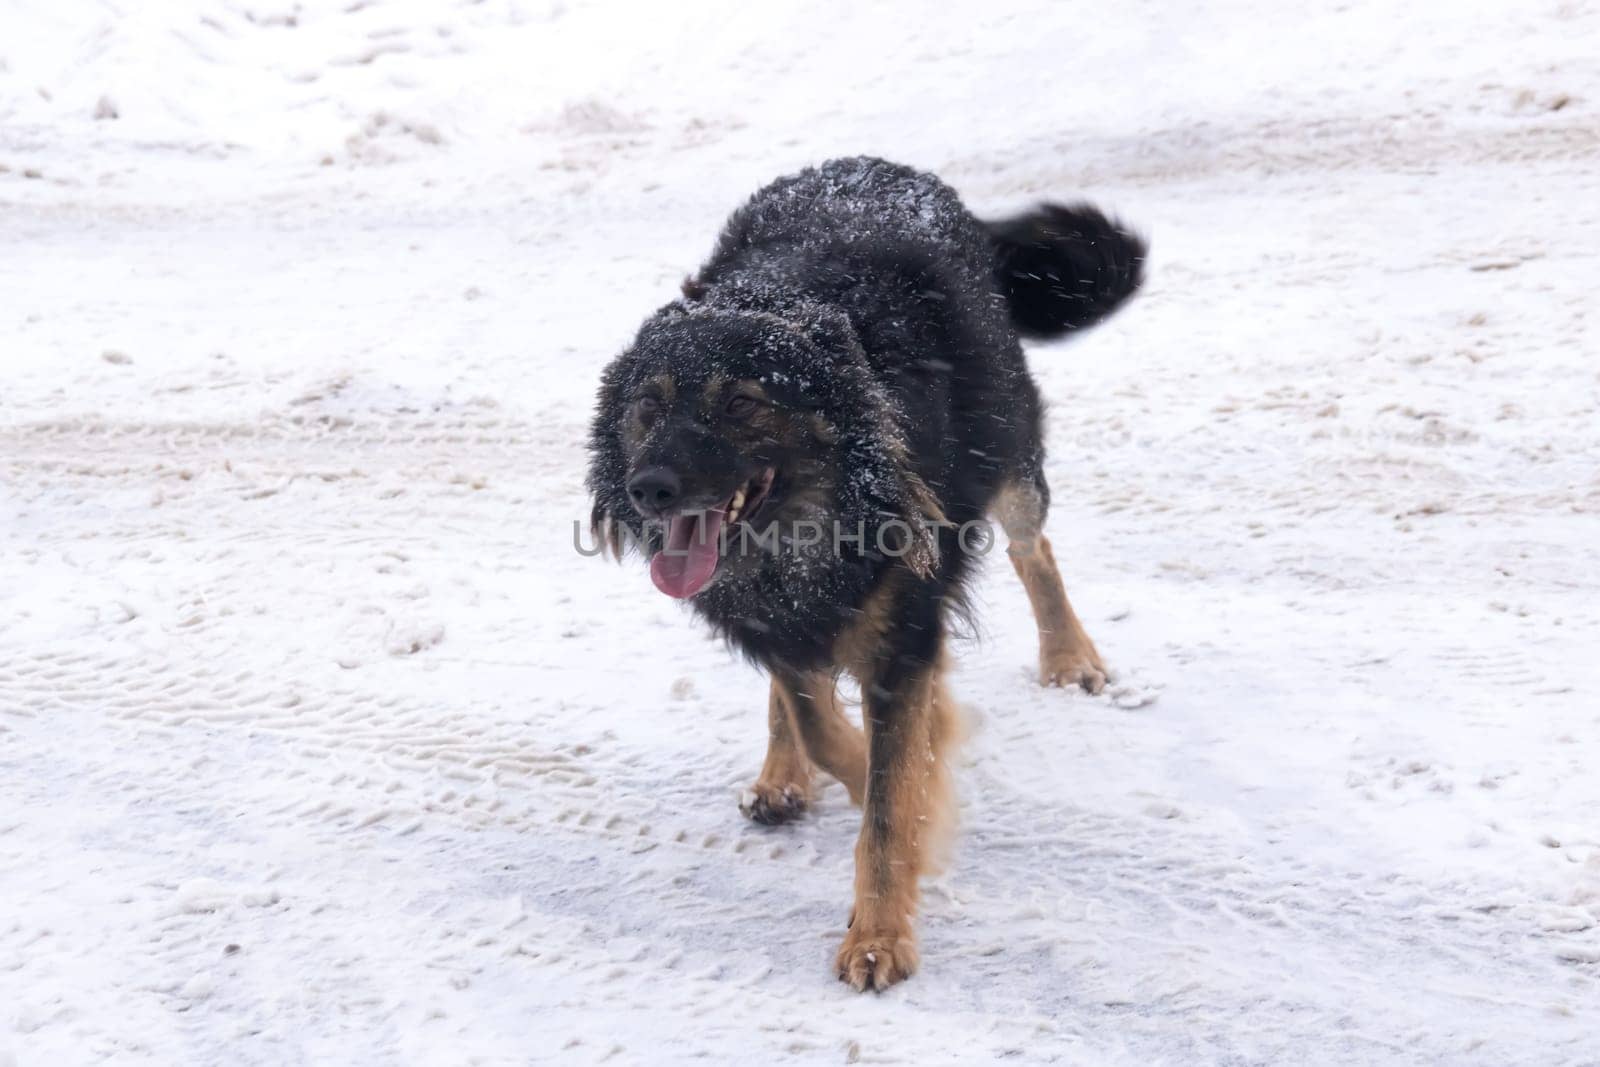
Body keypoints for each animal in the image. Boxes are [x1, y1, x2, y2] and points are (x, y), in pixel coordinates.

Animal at [585, 158, 1139, 991]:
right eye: (648, 406)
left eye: (741, 402)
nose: (649, 487)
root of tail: (878, 168)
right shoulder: (769, 613)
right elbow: (821, 725)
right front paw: (877, 778)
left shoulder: (903, 628)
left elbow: (887, 796)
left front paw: (880, 933)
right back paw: (781, 774)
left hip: (1008, 459)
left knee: (1032, 550)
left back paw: (1070, 656)